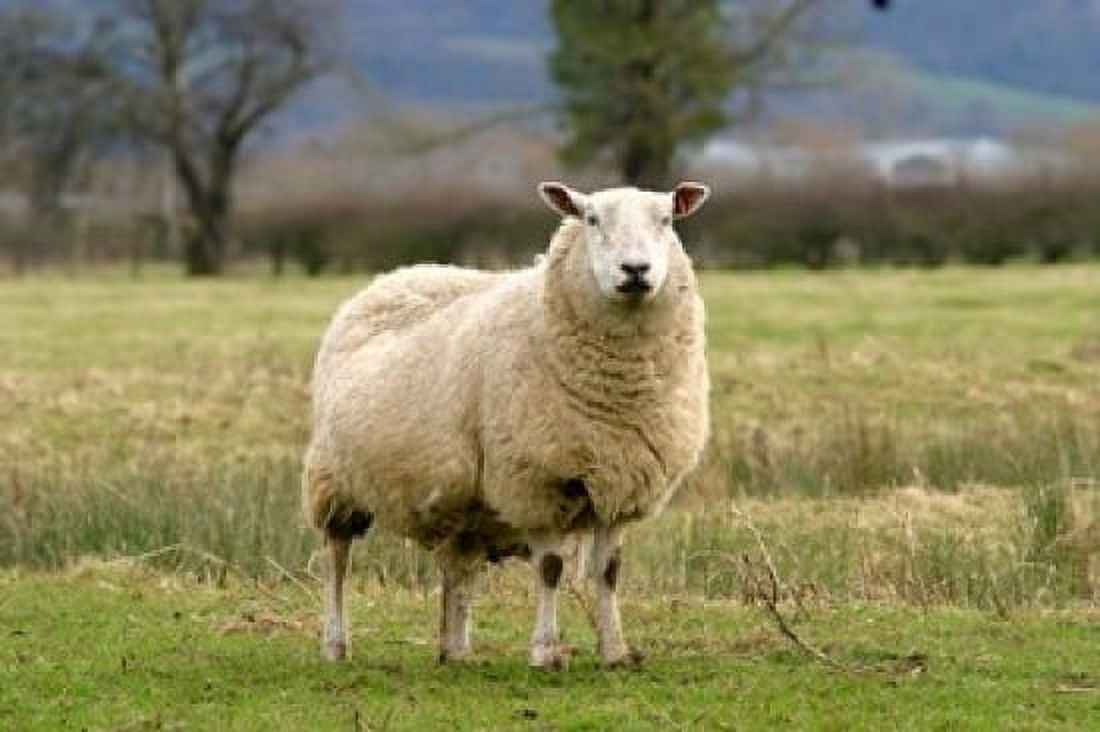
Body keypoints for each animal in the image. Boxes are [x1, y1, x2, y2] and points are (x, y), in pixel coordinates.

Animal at [302, 181, 711, 668]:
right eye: (590, 218)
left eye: (667, 219)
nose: (635, 270)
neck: (617, 398)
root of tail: (394, 277)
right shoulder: (535, 481)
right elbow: (550, 568)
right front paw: (545, 653)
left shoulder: (621, 485)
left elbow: (609, 572)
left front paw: (615, 652)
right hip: (334, 481)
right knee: (336, 561)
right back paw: (334, 644)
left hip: (463, 501)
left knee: (458, 570)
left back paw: (455, 650)